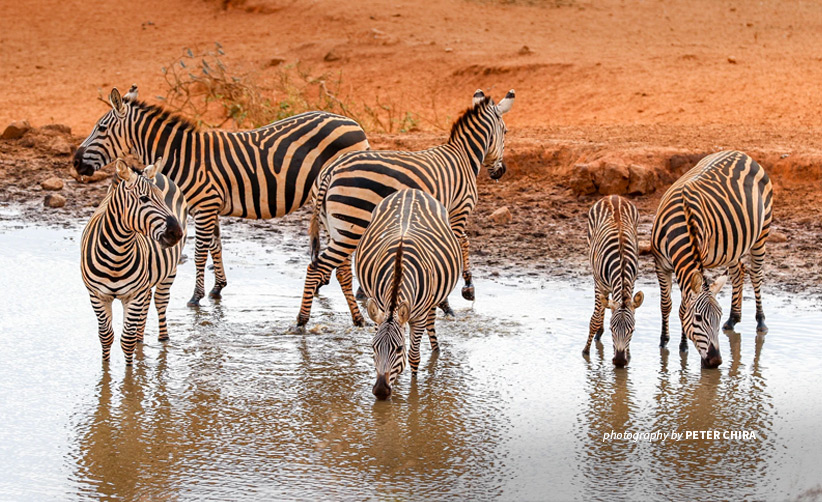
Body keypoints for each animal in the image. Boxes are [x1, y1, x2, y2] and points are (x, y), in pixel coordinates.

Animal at [72, 84, 368, 308]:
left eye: (100, 129)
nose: (74, 162)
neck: (185, 155)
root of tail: (353, 123)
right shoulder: (209, 207)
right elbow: (216, 245)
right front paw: (218, 288)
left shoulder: (204, 205)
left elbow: (200, 252)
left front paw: (196, 296)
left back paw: (361, 292)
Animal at [81, 159, 188, 362]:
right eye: (144, 199)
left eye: (162, 198)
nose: (176, 233)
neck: (116, 255)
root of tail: (152, 171)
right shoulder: (97, 295)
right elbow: (106, 336)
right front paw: (105, 368)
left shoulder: (133, 295)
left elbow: (127, 340)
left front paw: (130, 370)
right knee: (147, 302)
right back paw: (141, 338)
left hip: (170, 270)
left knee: (160, 301)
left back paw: (163, 339)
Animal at [358, 188, 466, 400]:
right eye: (373, 347)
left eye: (399, 348)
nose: (380, 391)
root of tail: (411, 190)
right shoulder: (380, 311)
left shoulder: (419, 317)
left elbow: (414, 357)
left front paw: (413, 395)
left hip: (432, 299)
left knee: (431, 322)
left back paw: (436, 350)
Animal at [584, 195, 648, 364]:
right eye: (612, 329)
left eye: (632, 330)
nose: (619, 361)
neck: (621, 263)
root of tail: (614, 196)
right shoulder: (599, 283)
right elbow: (595, 319)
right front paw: (586, 351)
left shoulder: (632, 283)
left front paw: (628, 354)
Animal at [652, 150, 776, 368]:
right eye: (698, 318)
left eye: (717, 317)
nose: (716, 360)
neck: (680, 223)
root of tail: (742, 154)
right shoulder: (660, 264)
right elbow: (666, 305)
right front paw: (664, 342)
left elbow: (683, 306)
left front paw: (683, 346)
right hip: (734, 245)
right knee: (738, 273)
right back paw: (734, 318)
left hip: (762, 232)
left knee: (756, 275)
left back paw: (760, 321)